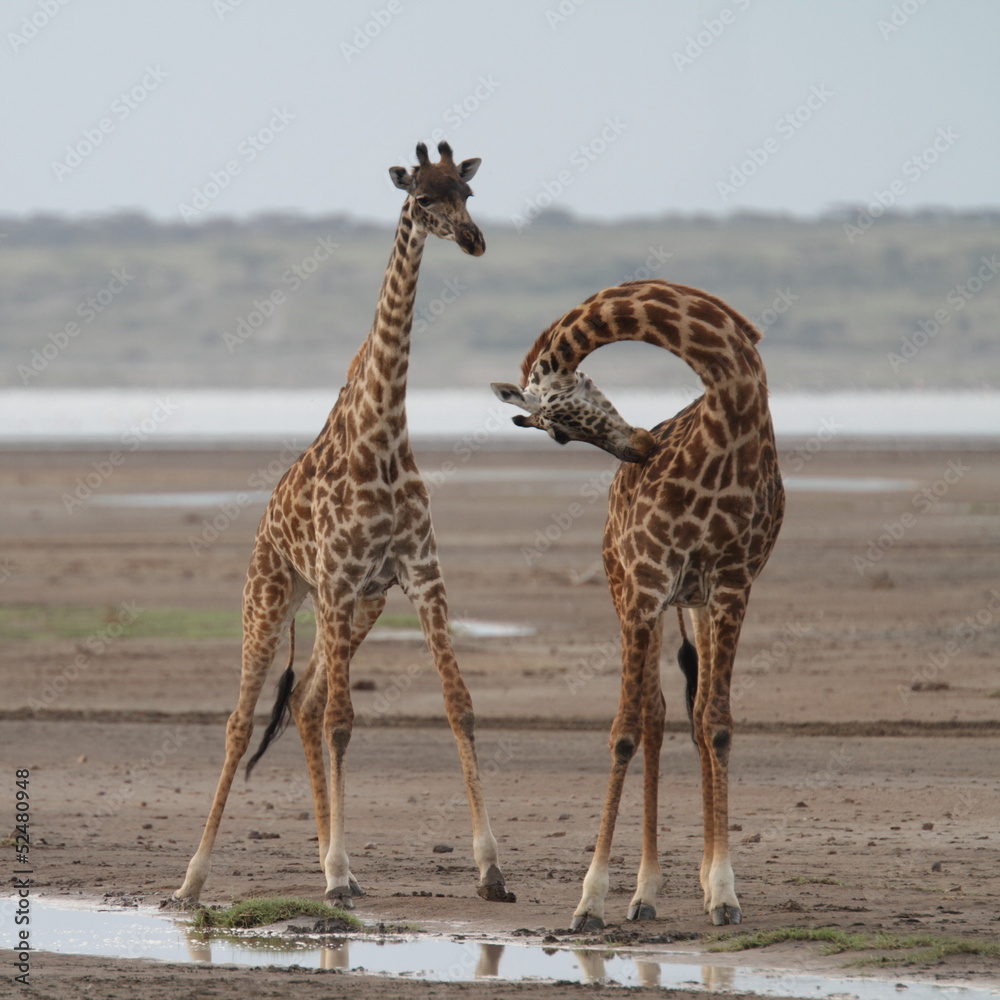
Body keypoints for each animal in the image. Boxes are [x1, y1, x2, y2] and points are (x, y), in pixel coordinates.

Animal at [171, 141, 513, 908]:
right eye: (422, 198)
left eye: (467, 194)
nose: (474, 240)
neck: (381, 438)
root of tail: (264, 527)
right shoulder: (336, 579)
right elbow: (343, 722)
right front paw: (333, 872)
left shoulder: (419, 576)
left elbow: (459, 704)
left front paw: (491, 869)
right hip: (274, 597)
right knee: (244, 720)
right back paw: (194, 877)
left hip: (357, 608)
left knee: (303, 703)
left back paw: (337, 863)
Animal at [492, 278, 784, 928]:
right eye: (558, 432)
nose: (641, 448)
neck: (733, 412)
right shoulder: (647, 581)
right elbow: (626, 729)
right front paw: (590, 900)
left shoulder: (732, 583)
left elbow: (718, 724)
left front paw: (723, 892)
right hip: (625, 589)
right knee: (653, 714)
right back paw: (644, 891)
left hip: (692, 604)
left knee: (692, 714)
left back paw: (692, 881)